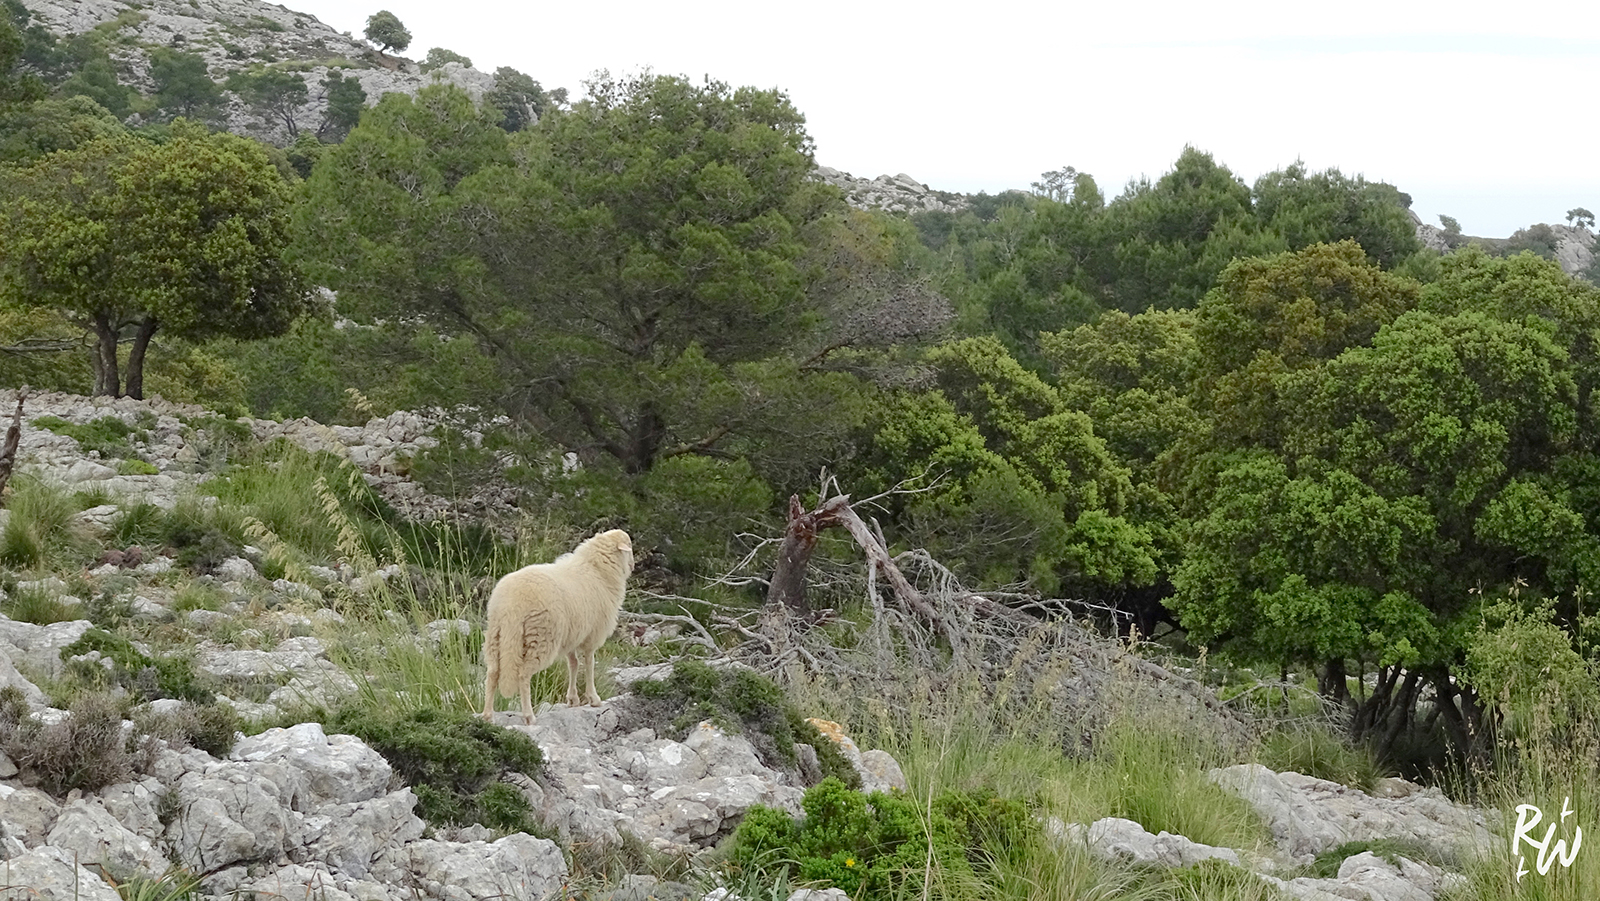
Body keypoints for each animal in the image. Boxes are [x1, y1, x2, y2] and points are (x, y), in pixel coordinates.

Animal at [480, 529, 634, 724]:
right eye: (629, 546)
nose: (633, 565)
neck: (598, 569)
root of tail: (512, 606)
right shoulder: (592, 635)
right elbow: (589, 664)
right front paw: (593, 698)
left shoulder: (572, 635)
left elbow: (573, 664)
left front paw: (573, 699)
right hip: (540, 637)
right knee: (523, 674)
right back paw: (529, 715)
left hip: (495, 634)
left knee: (492, 672)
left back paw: (487, 715)